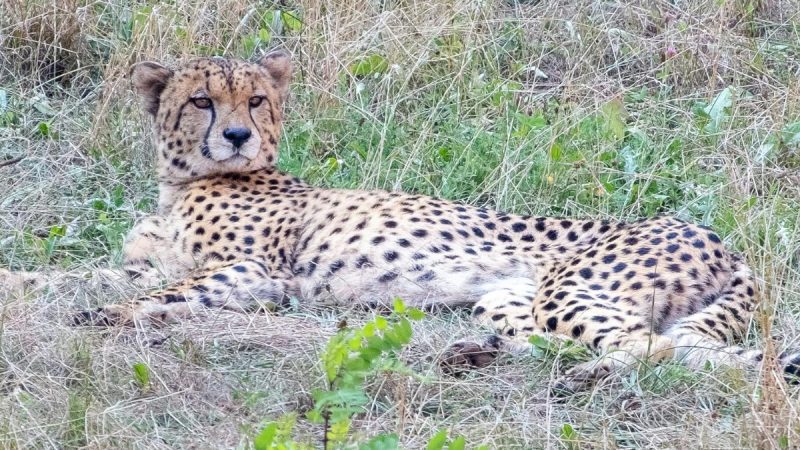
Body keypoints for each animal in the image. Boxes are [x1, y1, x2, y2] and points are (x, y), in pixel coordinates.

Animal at [2, 50, 798, 390]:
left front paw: (105, 317)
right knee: (686, 351)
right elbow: (66, 274)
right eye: (202, 100)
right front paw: (23, 286)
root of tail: (720, 238)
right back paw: (475, 354)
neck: (184, 180)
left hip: (571, 288)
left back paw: (568, 376)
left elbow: (160, 294)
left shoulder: (254, 272)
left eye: (255, 99)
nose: (235, 135)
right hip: (509, 297)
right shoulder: (148, 260)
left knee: (650, 348)